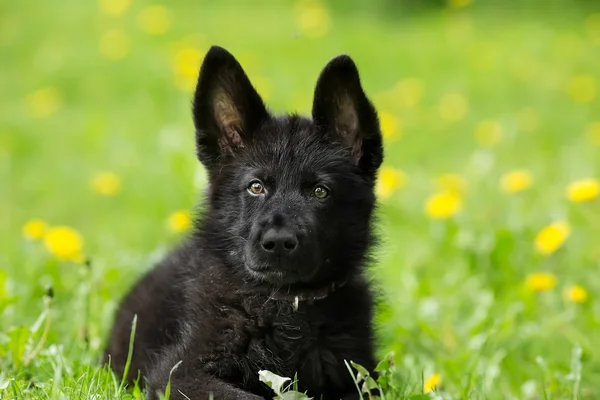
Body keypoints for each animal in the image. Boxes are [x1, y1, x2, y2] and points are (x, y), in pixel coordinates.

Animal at [102, 46, 384, 400]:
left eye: (321, 191)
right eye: (256, 187)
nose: (278, 242)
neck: (285, 307)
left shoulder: (361, 377)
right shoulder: (178, 374)